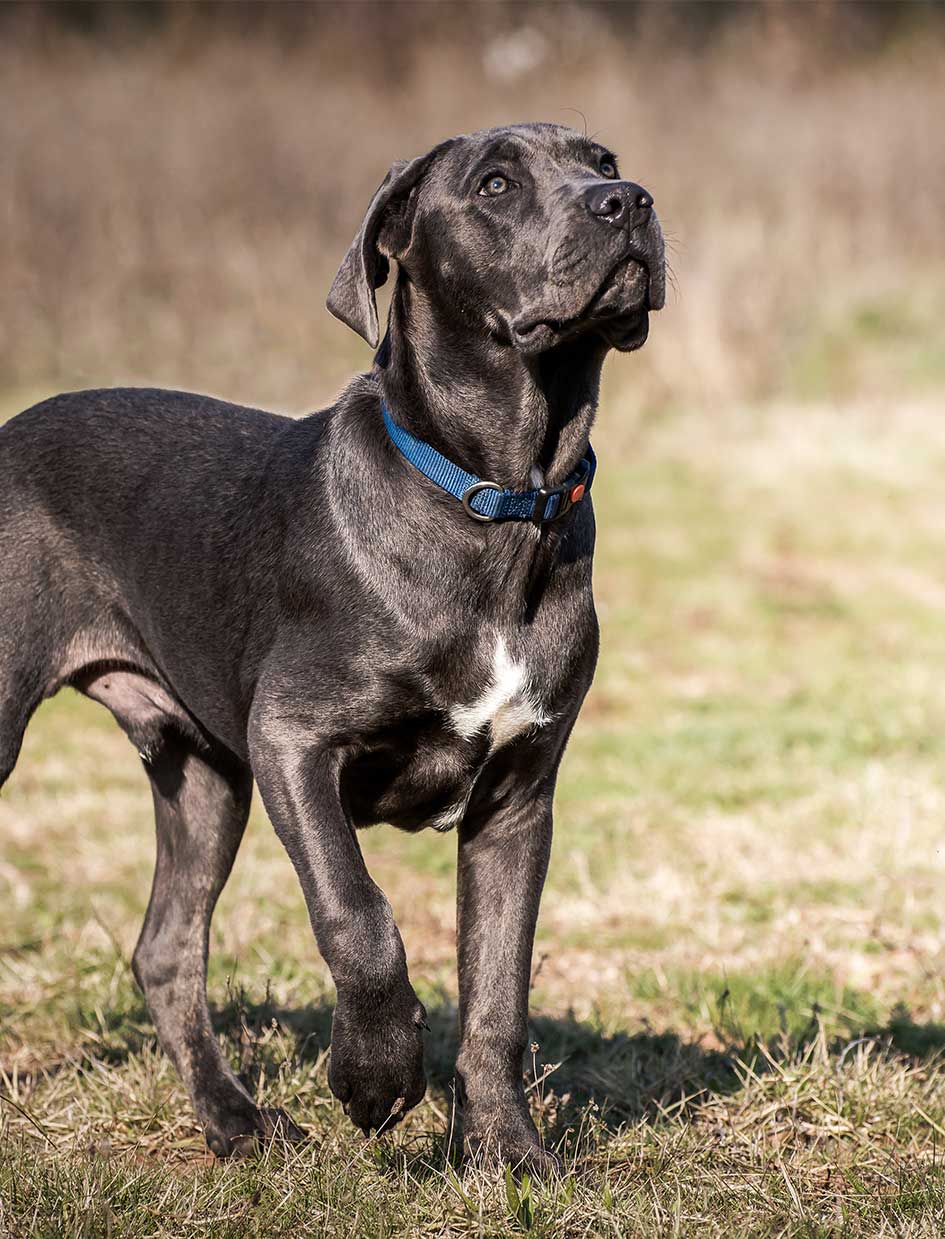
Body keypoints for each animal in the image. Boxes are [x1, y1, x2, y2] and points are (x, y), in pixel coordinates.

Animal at [0, 125, 663, 1169]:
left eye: (602, 160)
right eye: (495, 184)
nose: (628, 201)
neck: (498, 502)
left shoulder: (518, 795)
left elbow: (499, 988)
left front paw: (508, 1152)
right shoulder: (293, 737)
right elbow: (359, 914)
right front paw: (375, 1077)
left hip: (203, 774)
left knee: (165, 948)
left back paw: (234, 1120)